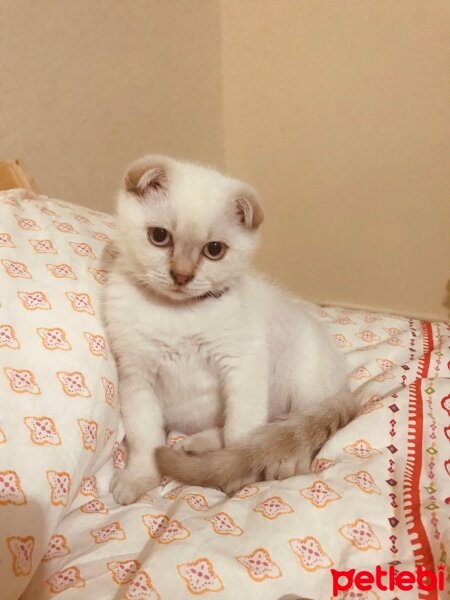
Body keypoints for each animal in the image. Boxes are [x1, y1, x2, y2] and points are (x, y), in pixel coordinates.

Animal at [103, 154, 360, 502]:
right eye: (159, 236)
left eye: (215, 250)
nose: (181, 275)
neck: (179, 314)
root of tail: (346, 386)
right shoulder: (136, 377)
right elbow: (145, 437)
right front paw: (140, 477)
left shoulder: (242, 366)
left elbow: (242, 433)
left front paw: (238, 475)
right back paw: (197, 446)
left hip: (304, 377)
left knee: (297, 432)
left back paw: (281, 464)